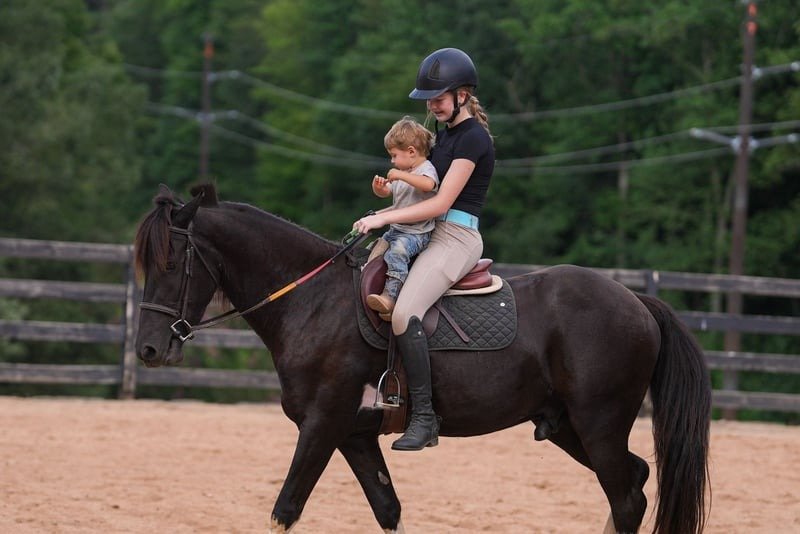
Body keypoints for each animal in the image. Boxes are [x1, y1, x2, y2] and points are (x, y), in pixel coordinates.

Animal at [134, 183, 711, 534]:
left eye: (171, 263)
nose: (149, 350)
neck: (312, 301)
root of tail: (636, 301)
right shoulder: (354, 435)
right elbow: (388, 509)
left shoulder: (322, 425)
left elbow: (285, 509)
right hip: (570, 426)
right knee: (633, 483)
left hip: (599, 423)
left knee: (627, 496)